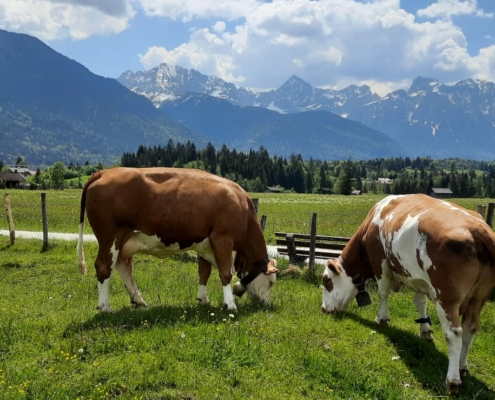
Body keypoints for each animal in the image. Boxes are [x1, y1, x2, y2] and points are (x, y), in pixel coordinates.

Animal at [77, 166, 280, 312]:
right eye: (271, 282)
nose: (266, 304)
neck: (241, 206)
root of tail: (104, 172)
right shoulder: (222, 239)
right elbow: (225, 273)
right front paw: (230, 305)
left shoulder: (205, 244)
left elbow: (204, 272)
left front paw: (203, 299)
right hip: (110, 238)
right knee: (104, 267)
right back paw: (105, 307)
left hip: (125, 241)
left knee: (123, 267)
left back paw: (139, 300)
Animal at [322, 195, 495, 390]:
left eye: (327, 281)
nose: (323, 308)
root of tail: (479, 228)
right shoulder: (418, 279)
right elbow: (420, 303)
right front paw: (425, 330)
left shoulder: (379, 263)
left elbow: (383, 293)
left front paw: (381, 319)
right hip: (478, 298)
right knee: (470, 329)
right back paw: (462, 366)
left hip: (447, 298)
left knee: (454, 334)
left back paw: (453, 379)